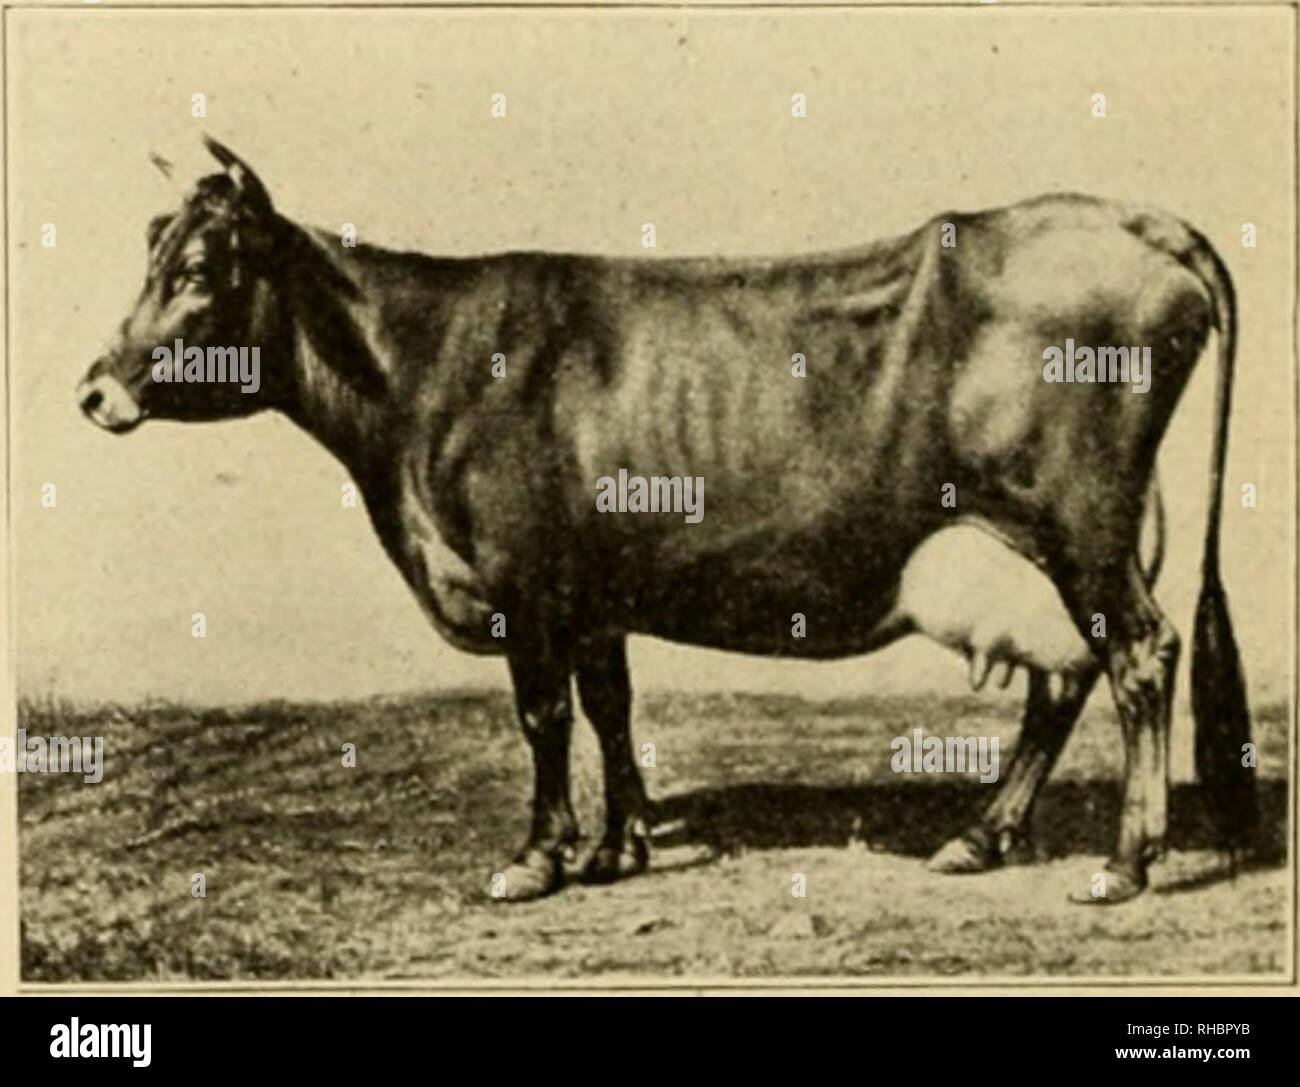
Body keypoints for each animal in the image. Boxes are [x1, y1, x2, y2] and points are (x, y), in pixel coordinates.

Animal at [78, 140, 1248, 904]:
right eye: (149, 251)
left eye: (196, 271)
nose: (94, 388)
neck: (419, 371)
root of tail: (1134, 219)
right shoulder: (593, 591)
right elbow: (610, 705)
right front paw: (619, 847)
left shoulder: (522, 582)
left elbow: (544, 715)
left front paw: (537, 858)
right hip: (1060, 540)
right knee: (1068, 675)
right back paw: (979, 837)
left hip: (1081, 521)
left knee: (1140, 655)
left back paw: (1125, 863)